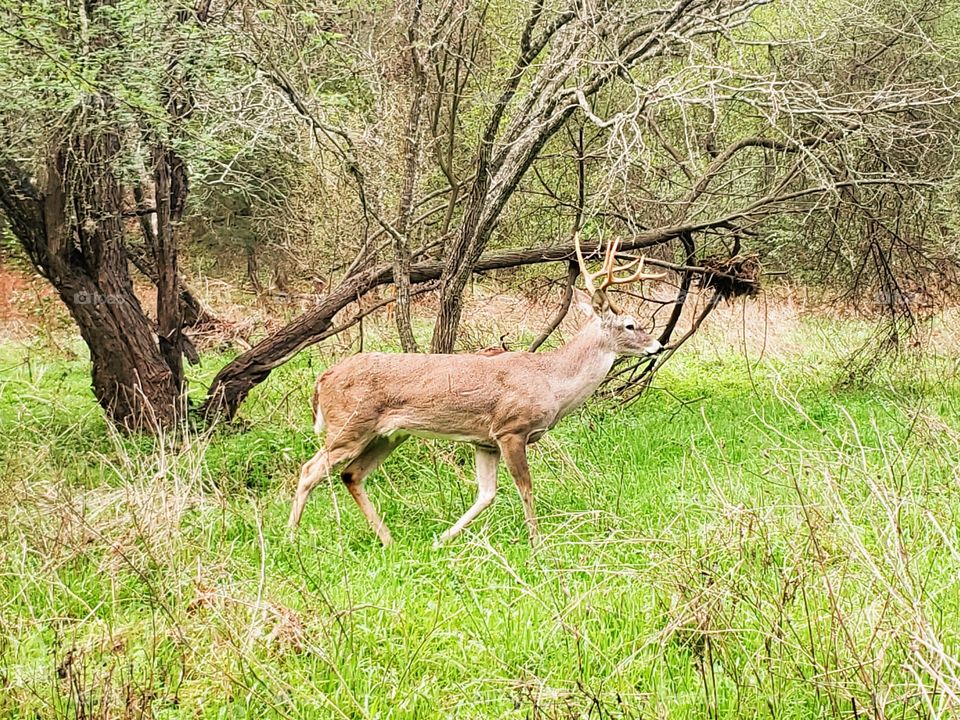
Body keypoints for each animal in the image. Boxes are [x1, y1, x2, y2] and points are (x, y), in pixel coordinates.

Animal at [288, 236, 664, 544]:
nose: (658, 346)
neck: (551, 381)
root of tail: (323, 379)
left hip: (388, 434)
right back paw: (291, 539)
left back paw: (388, 540)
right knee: (310, 470)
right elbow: (524, 487)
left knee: (351, 474)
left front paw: (441, 540)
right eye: (630, 325)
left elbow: (486, 494)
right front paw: (537, 543)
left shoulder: (485, 441)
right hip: (350, 424)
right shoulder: (511, 429)